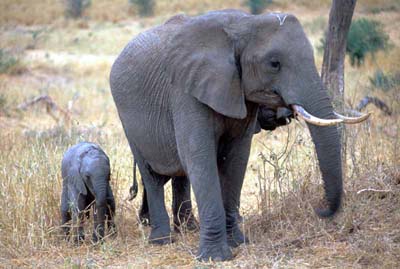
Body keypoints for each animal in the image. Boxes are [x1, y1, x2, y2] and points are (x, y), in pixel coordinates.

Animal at [110, 10, 368, 260]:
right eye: (274, 64)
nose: (320, 210)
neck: (244, 24)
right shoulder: (186, 91)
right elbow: (198, 155)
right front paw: (215, 257)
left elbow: (236, 158)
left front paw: (238, 242)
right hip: (128, 119)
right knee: (152, 175)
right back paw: (162, 240)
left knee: (180, 174)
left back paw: (188, 229)